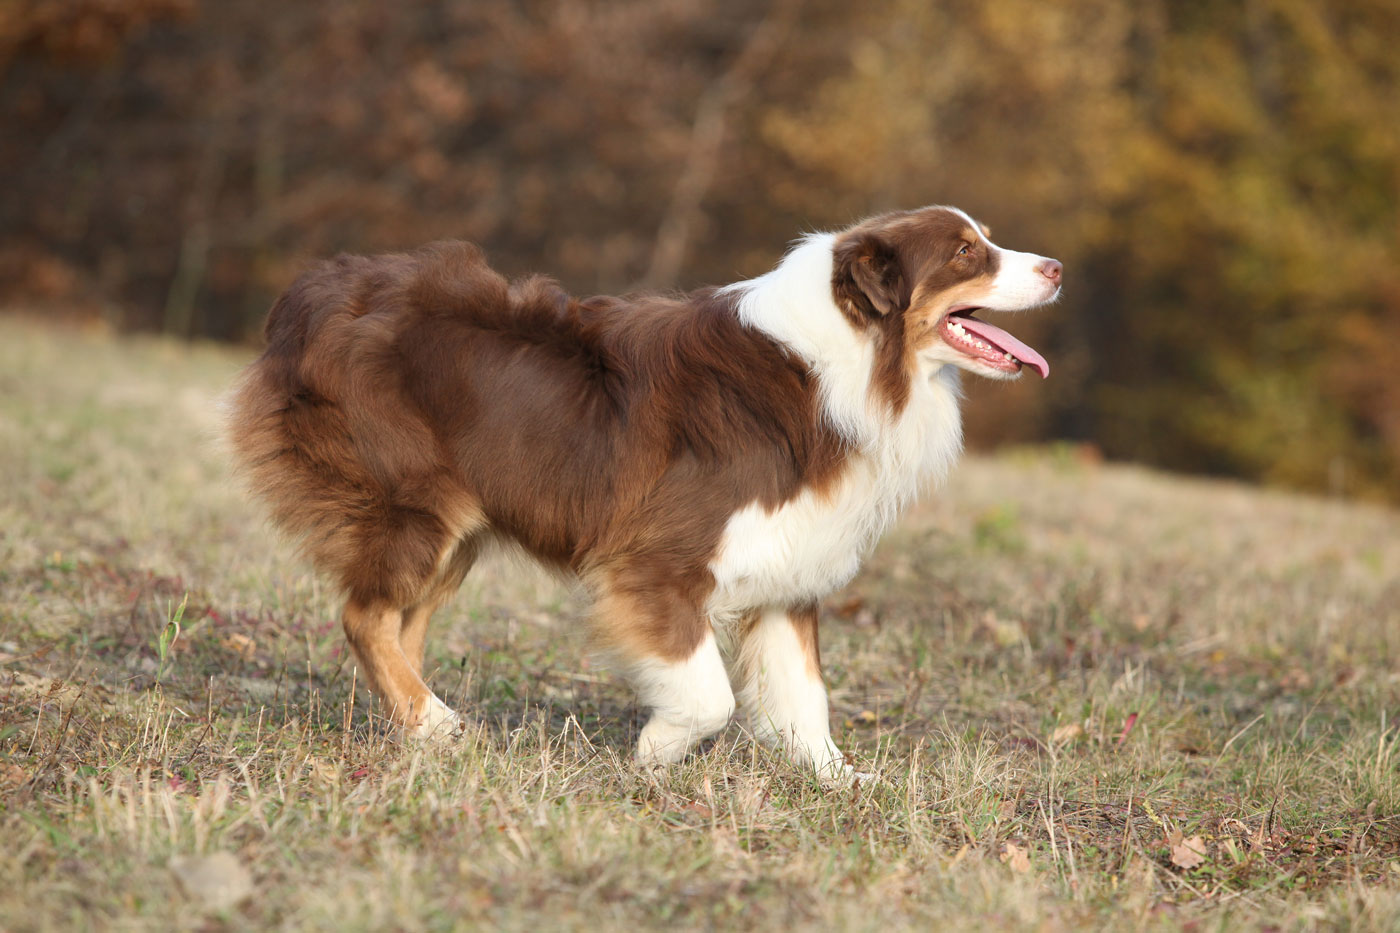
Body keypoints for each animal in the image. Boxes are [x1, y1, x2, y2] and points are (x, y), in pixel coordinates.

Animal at [232, 203, 1058, 778]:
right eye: (965, 252)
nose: (1054, 267)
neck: (844, 363)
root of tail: (316, 288)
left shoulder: (790, 566)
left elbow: (805, 694)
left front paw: (840, 778)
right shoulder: (660, 561)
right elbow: (710, 693)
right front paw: (658, 751)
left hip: (460, 530)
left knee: (402, 626)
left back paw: (421, 729)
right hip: (413, 504)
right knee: (363, 614)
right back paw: (435, 722)